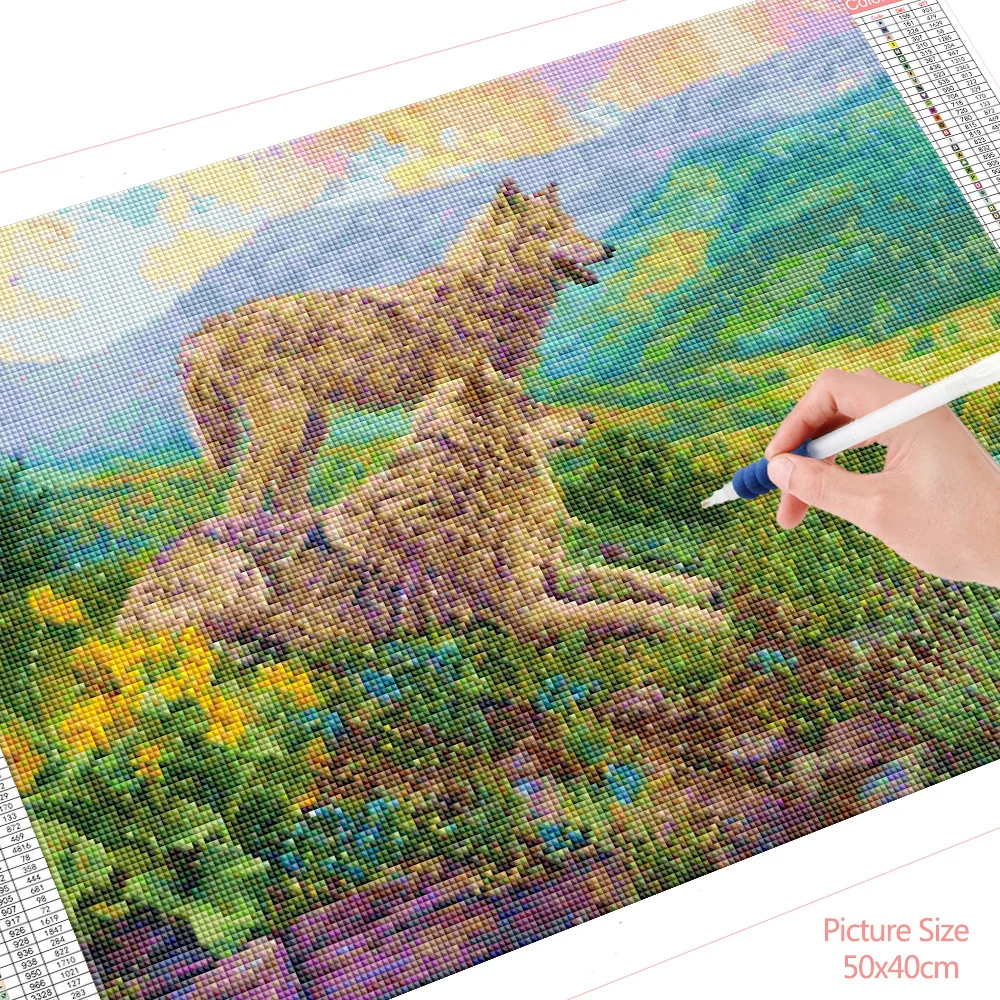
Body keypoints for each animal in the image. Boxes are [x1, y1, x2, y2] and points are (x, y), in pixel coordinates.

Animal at [179, 179, 612, 516]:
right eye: (550, 228)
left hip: (312, 426)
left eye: (572, 225)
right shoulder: (453, 386)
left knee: (281, 489)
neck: (486, 295)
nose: (608, 249)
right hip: (286, 426)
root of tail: (204, 330)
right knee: (245, 491)